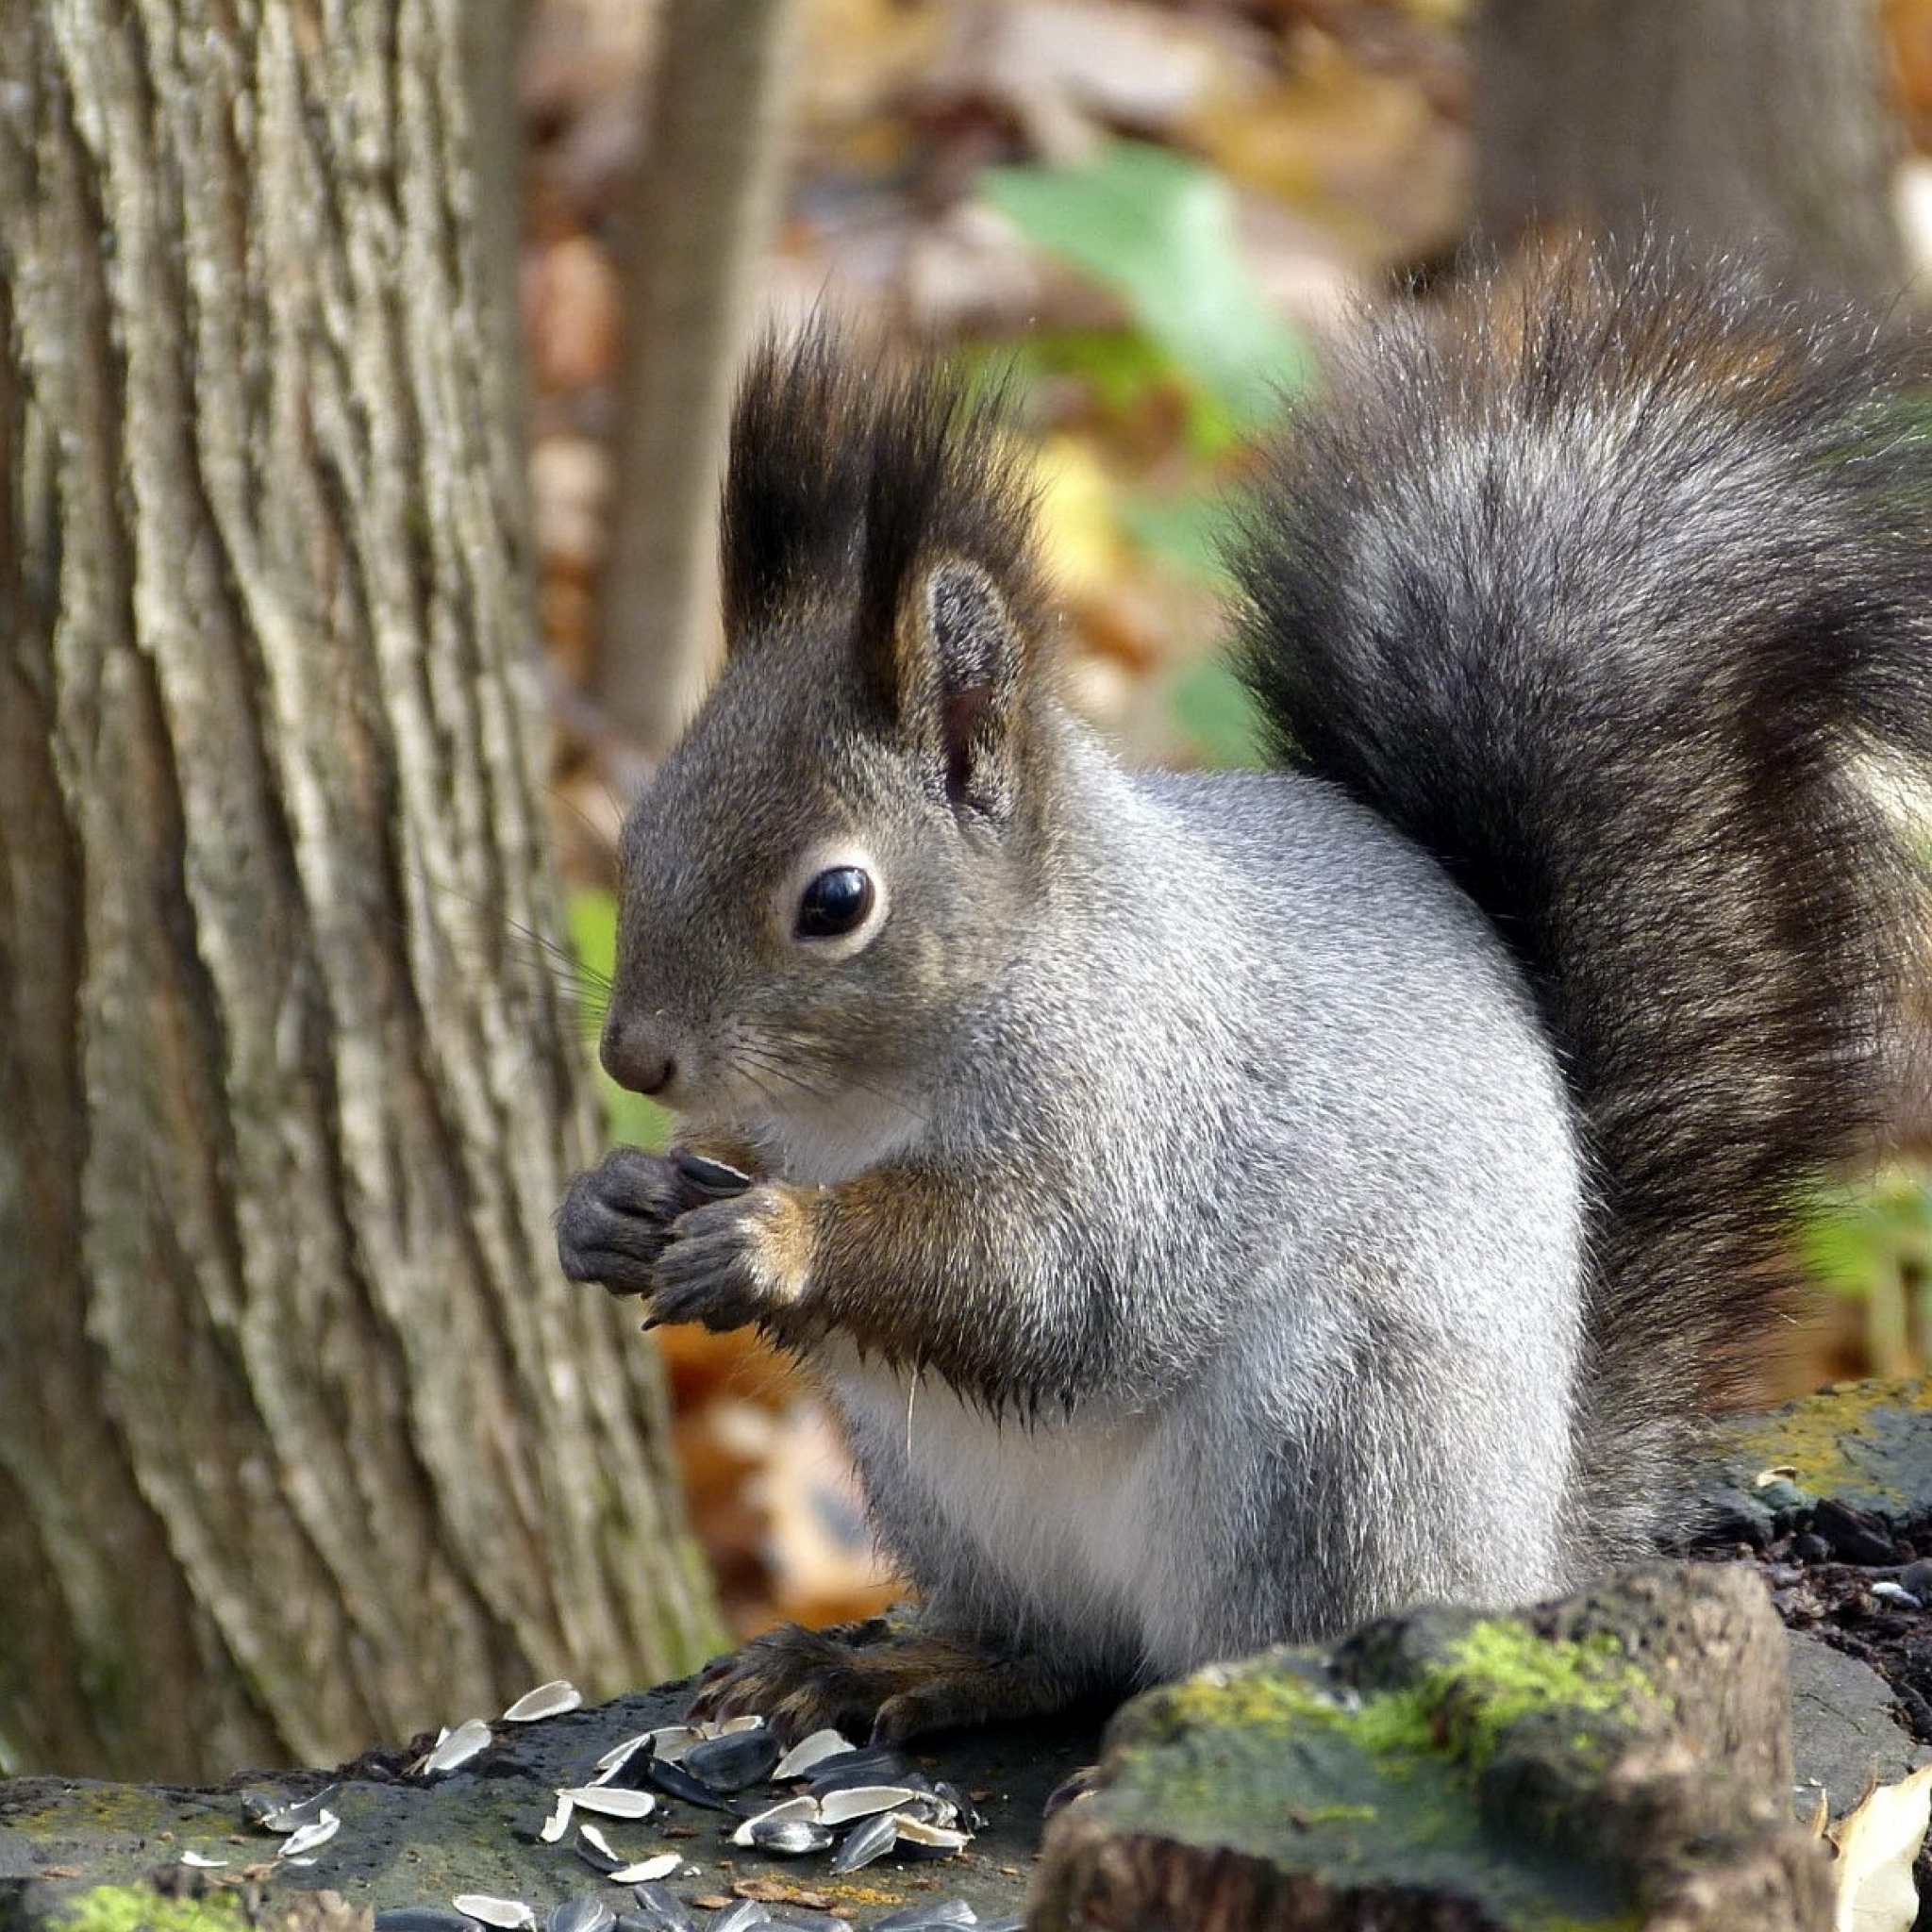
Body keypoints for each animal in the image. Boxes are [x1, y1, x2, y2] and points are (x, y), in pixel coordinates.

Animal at [552, 249, 1932, 1746]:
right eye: (645, 826)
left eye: (835, 901)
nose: (634, 1061)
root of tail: (1520, 1554)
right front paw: (613, 1203)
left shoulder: (1148, 1109)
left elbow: (1055, 1280)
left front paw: (777, 1239)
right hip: (947, 1489)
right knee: (1060, 1655)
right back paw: (903, 1667)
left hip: (1325, 1444)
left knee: (1251, 1653)